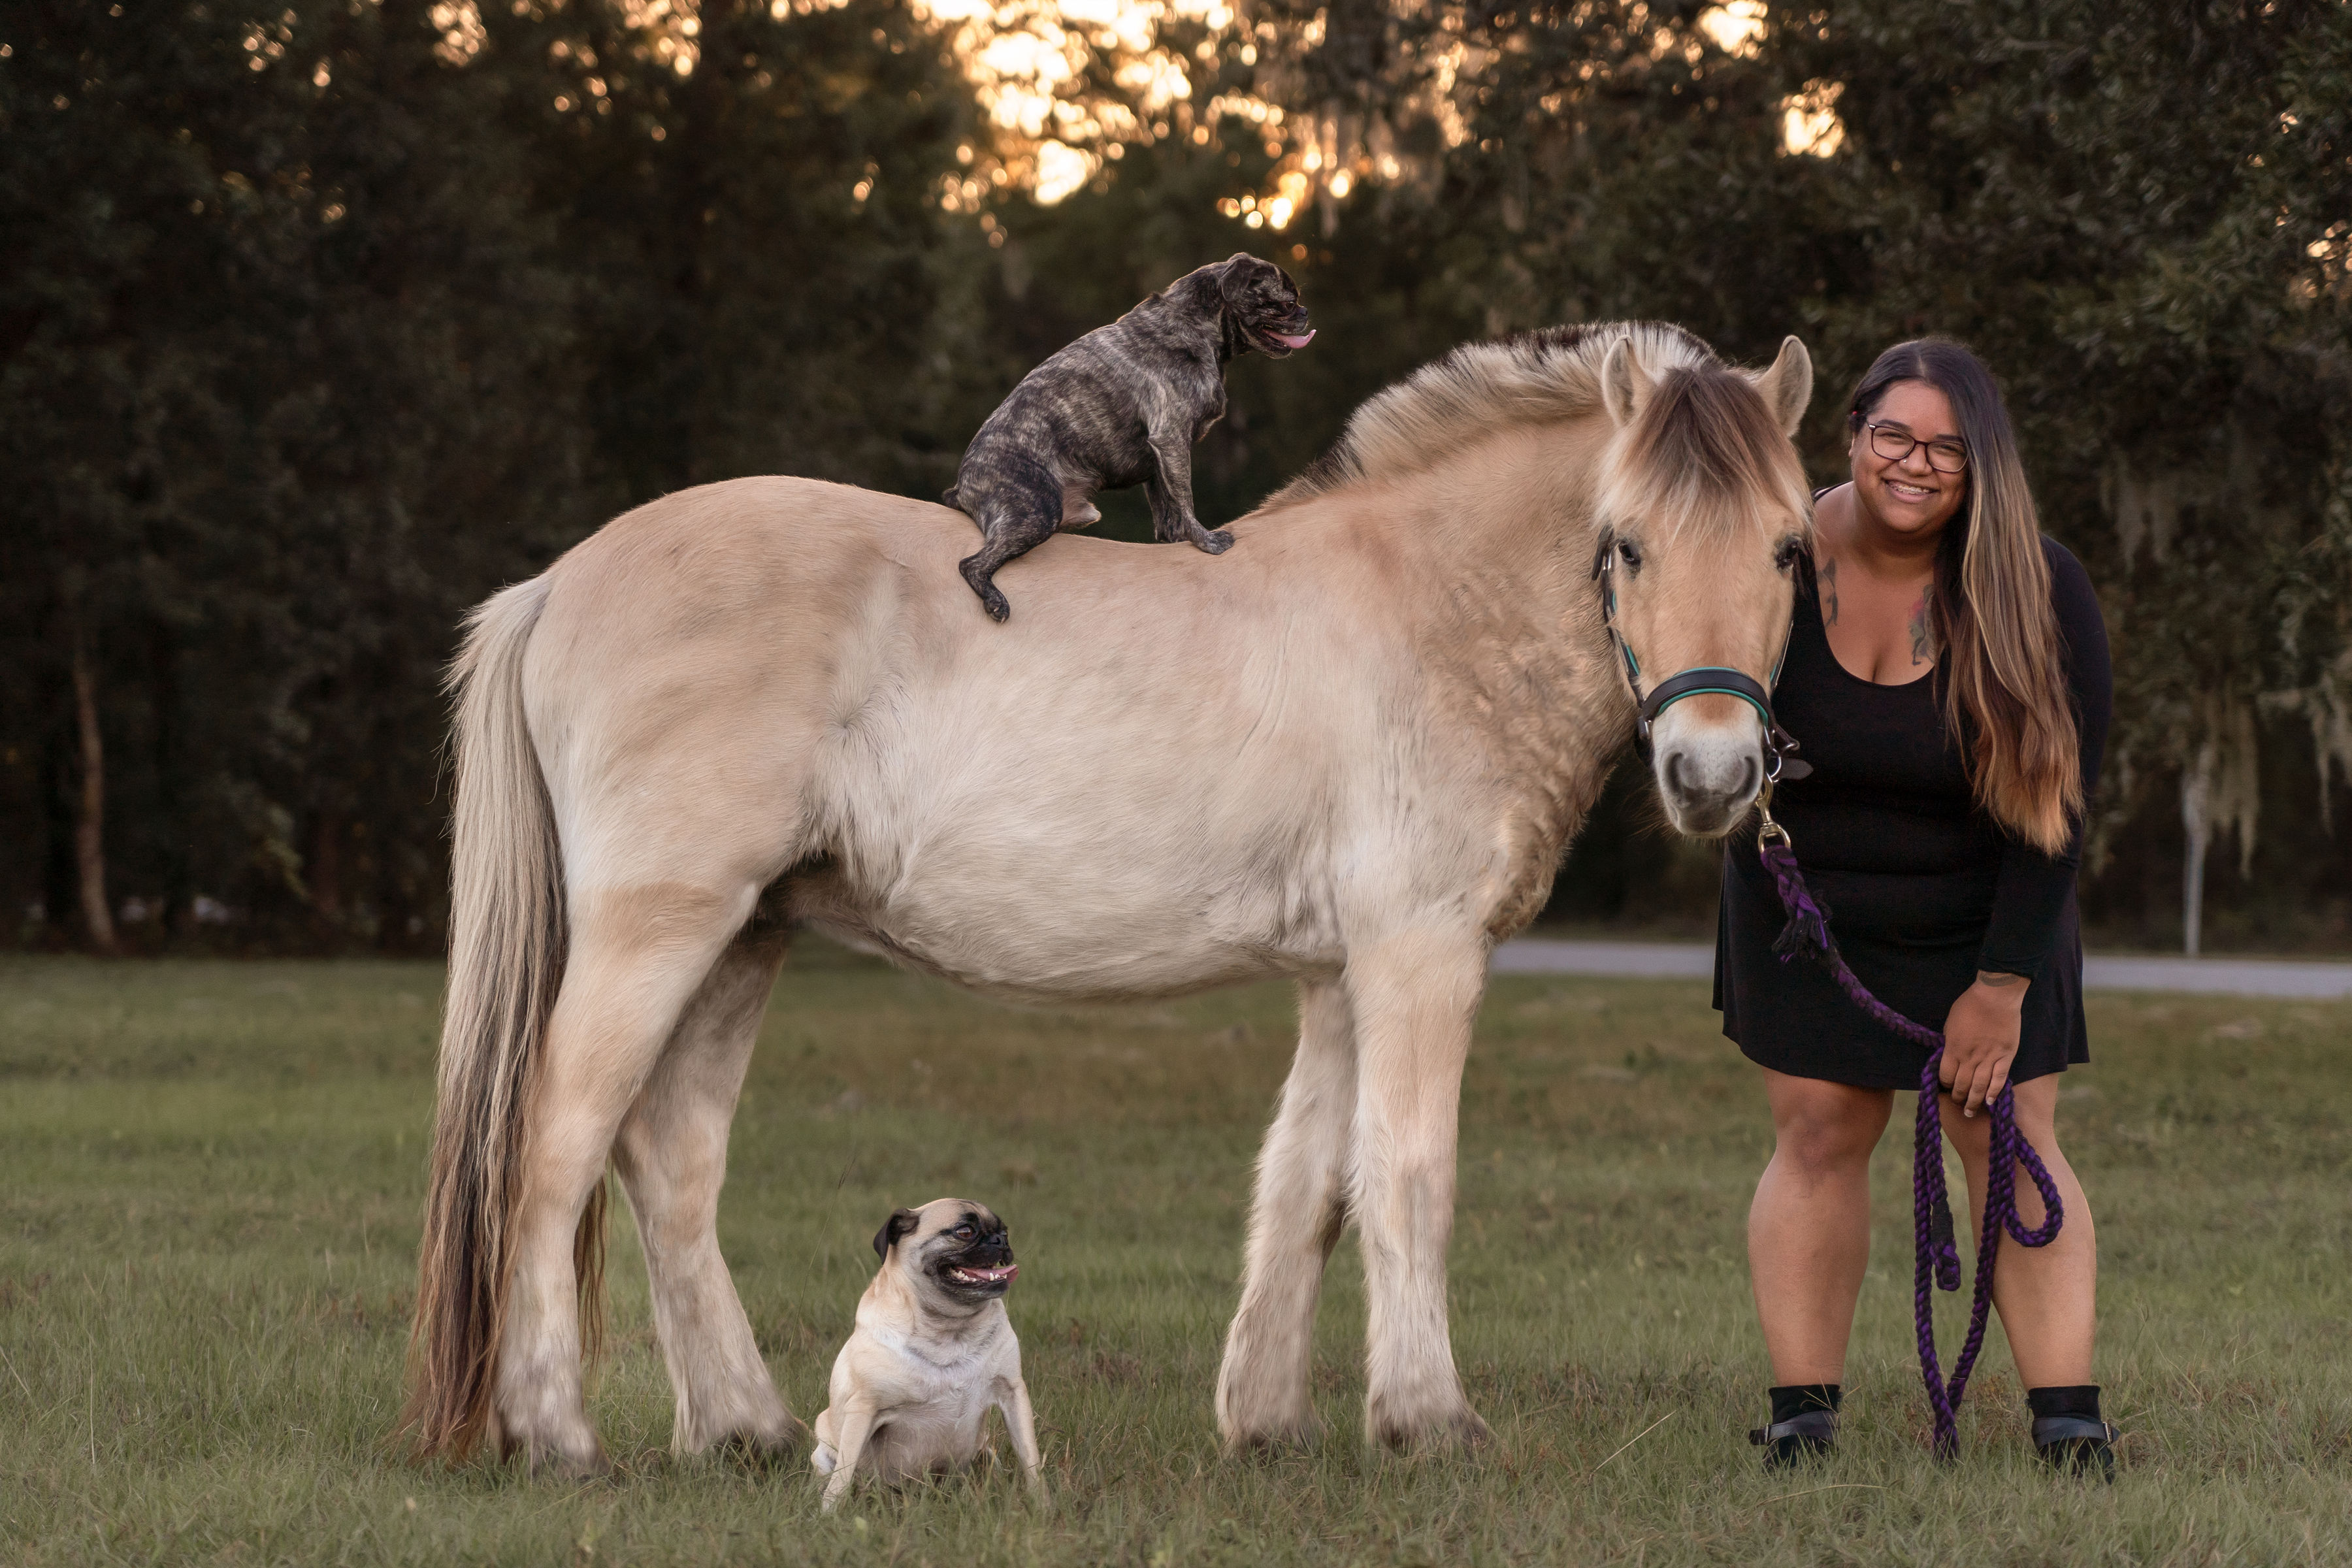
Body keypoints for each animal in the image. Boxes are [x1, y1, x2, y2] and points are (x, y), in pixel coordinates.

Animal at [400, 315, 1816, 1476]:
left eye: (1792, 551)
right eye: (1626, 545)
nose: (1711, 773)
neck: (1426, 612)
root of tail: (558, 583)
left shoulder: (1339, 973)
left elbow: (1311, 1186)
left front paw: (1268, 1422)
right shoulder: (1420, 953)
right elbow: (1410, 1174)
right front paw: (1430, 1423)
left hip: (746, 935)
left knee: (670, 1158)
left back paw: (741, 1430)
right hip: (663, 926)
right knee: (554, 1145)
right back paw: (557, 1435)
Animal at [941, 250, 1317, 620]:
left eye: (1295, 300)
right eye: (1285, 302)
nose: (1304, 311)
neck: (1195, 323)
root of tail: (961, 489)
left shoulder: (1160, 460)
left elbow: (1167, 510)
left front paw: (1177, 541)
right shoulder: (1171, 439)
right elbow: (1186, 499)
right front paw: (1206, 542)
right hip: (1037, 510)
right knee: (971, 564)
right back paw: (995, 602)